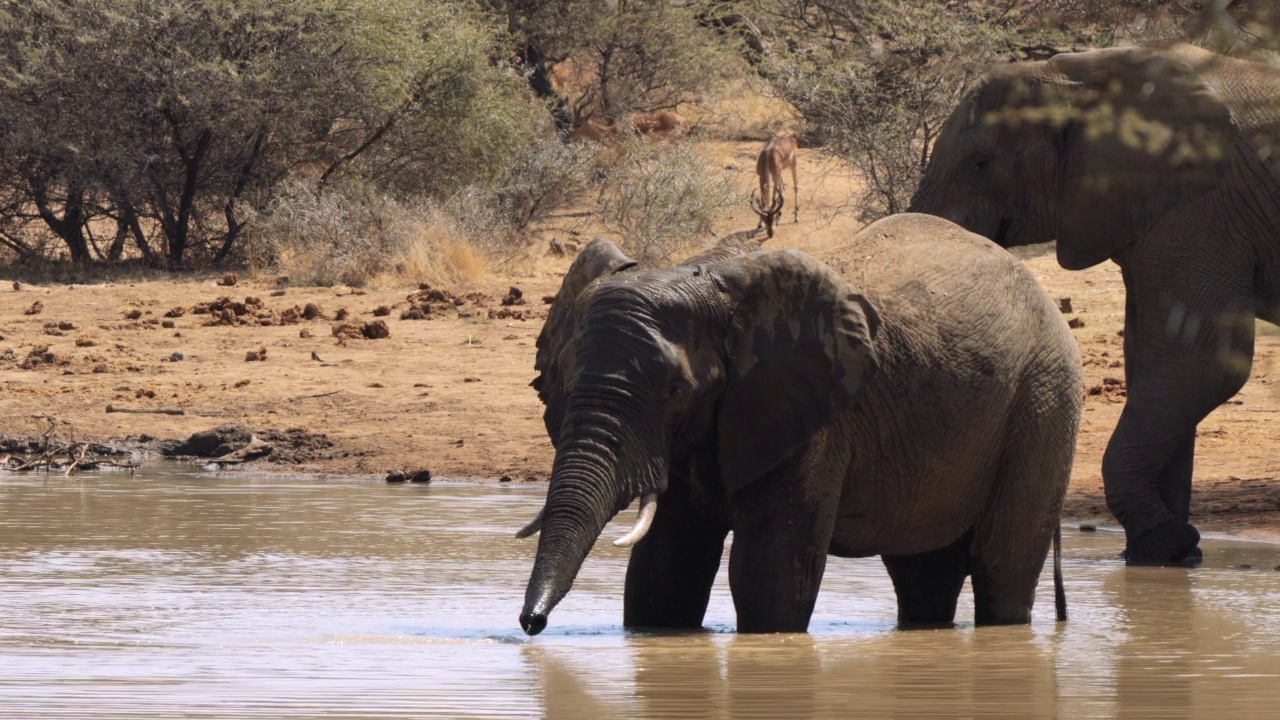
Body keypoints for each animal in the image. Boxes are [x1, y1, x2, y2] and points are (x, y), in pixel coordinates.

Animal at [514, 212, 1085, 632]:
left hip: (1044, 399)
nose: (530, 624)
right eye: (563, 383)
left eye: (675, 391)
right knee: (924, 572)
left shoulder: (814, 420)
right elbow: (664, 572)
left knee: (1001, 565)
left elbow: (767, 572)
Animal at [911, 41, 1280, 563]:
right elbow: (1157, 369)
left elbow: (1199, 368)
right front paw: (1164, 556)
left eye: (981, 163)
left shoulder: (1202, 210)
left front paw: (1165, 540)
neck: (1079, 75)